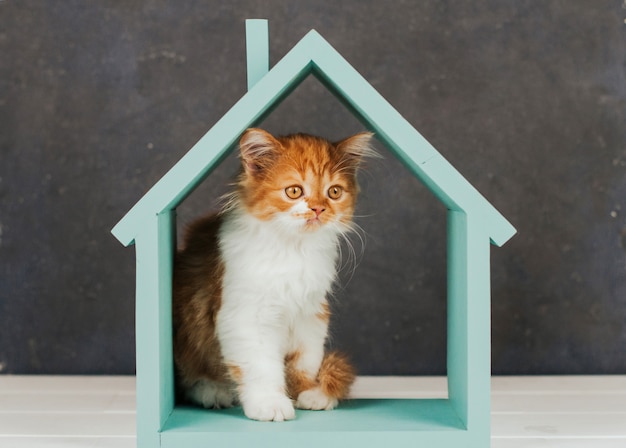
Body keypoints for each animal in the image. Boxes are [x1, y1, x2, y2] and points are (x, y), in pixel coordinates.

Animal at [172, 128, 370, 422]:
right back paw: (212, 391)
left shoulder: (311, 314)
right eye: (294, 191)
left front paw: (308, 391)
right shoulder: (246, 315)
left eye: (334, 192)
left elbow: (306, 360)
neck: (293, 248)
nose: (318, 208)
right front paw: (270, 403)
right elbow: (261, 365)